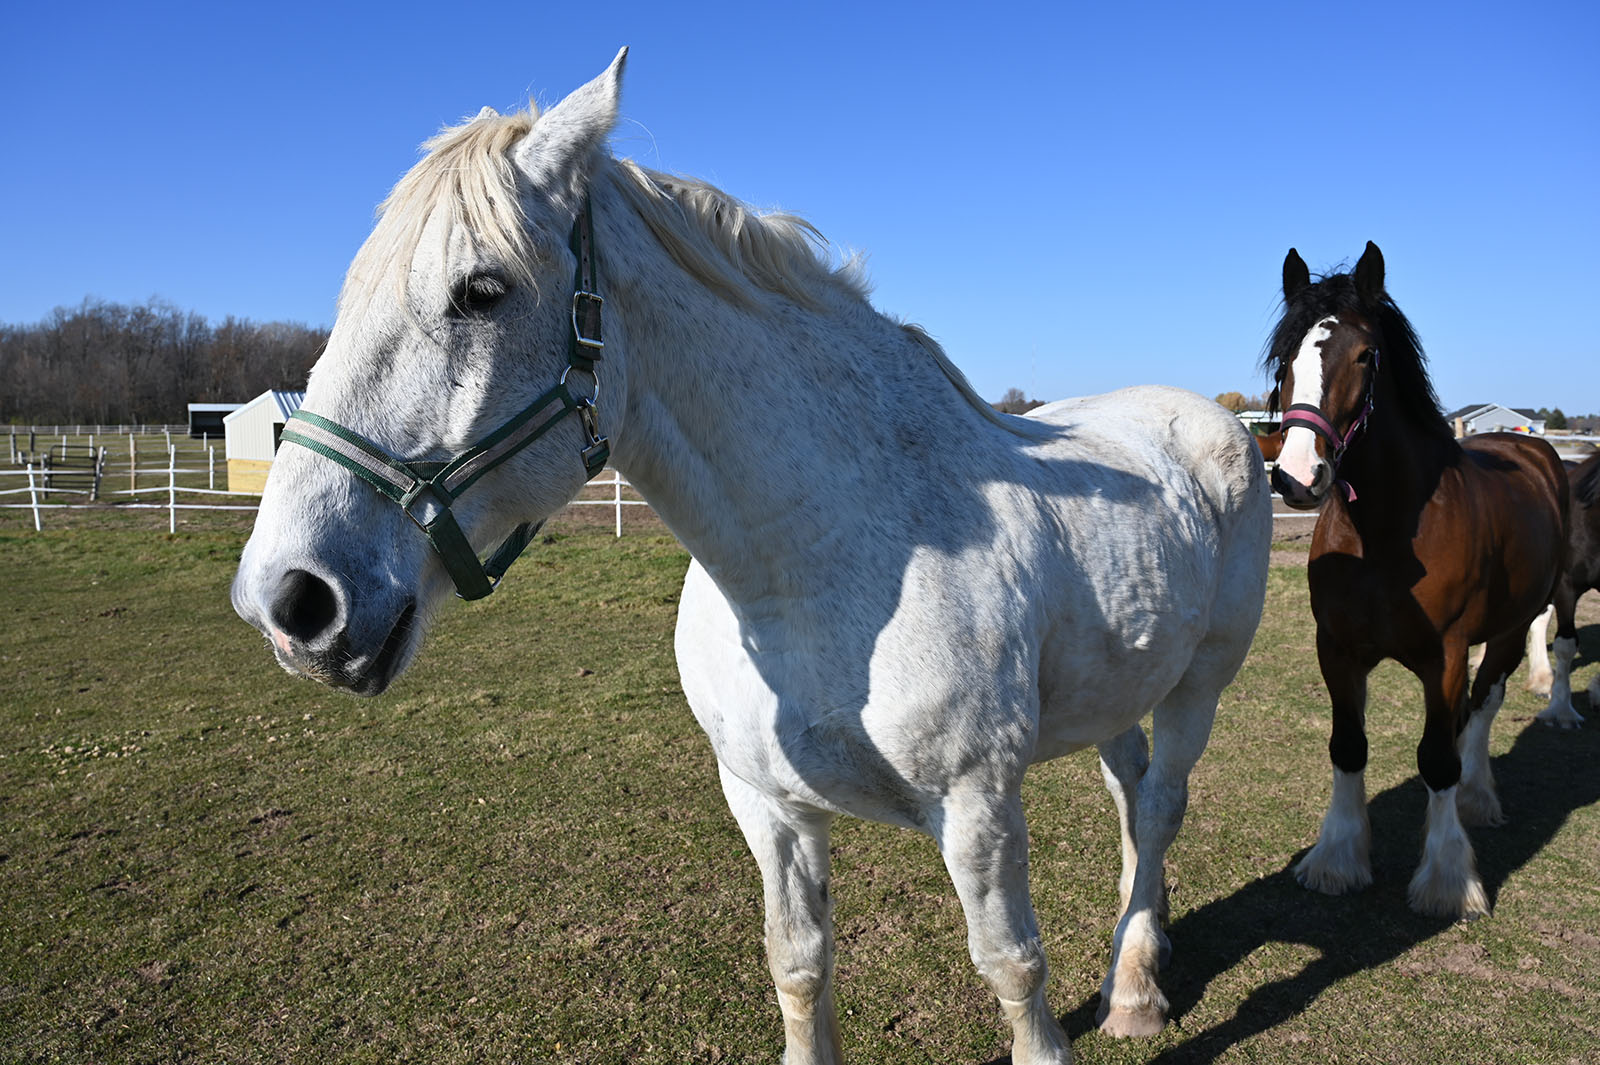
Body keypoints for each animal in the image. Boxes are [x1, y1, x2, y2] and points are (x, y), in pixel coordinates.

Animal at [232, 51, 1267, 1061]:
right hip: (1117, 688)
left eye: (481, 291)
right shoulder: (767, 807)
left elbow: (1014, 970)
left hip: (1200, 685)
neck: (821, 561)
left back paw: (1135, 988)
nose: (289, 599)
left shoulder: (978, 805)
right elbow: (798, 966)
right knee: (1131, 795)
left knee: (1161, 804)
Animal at [1260, 239, 1561, 914]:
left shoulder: (1445, 654)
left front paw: (1448, 881)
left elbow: (1438, 758)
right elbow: (1348, 746)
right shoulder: (1338, 648)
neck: (1388, 532)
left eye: (1365, 355)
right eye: (1286, 357)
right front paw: (1337, 859)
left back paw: (1478, 799)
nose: (1297, 476)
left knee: (1484, 704)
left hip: (1511, 630)